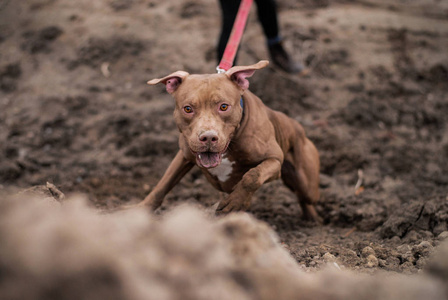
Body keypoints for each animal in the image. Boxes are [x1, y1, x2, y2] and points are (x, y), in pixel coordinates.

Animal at [138, 60, 320, 220]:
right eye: (188, 109)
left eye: (224, 106)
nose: (208, 137)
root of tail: (298, 127)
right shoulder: (184, 156)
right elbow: (163, 185)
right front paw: (141, 209)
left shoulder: (274, 159)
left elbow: (252, 176)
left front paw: (235, 202)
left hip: (306, 183)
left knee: (306, 197)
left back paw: (314, 219)